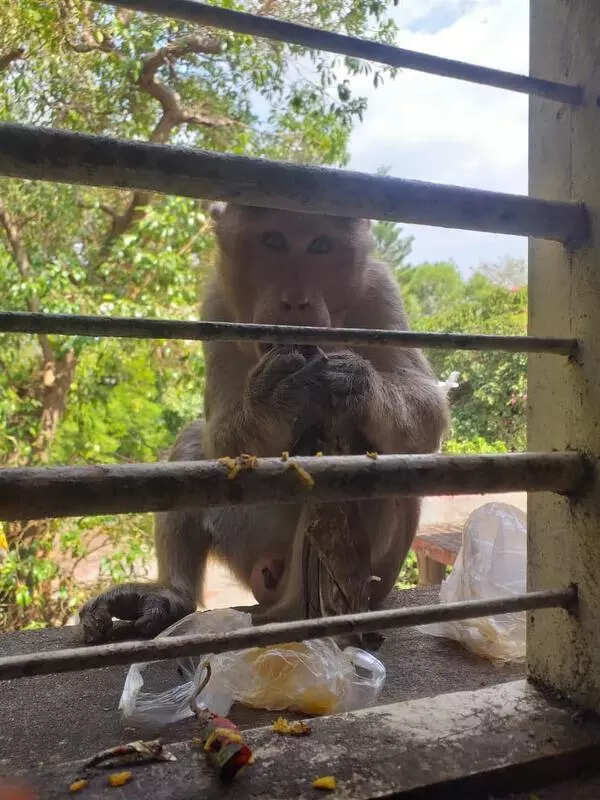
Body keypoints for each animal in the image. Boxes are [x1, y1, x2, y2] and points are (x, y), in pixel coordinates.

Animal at [79, 204, 449, 644]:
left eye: (320, 245)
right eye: (273, 240)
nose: (296, 301)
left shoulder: (380, 288)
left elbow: (428, 411)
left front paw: (356, 383)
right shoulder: (217, 303)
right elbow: (221, 433)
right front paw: (276, 394)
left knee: (369, 449)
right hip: (245, 538)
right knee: (194, 441)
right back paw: (172, 595)